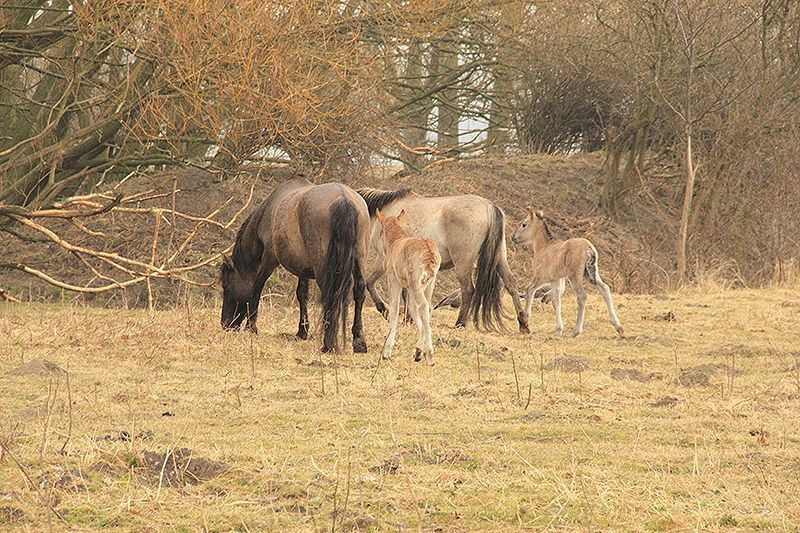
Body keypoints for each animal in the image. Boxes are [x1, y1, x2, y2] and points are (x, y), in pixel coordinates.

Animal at [217, 175, 370, 356]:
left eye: (226, 285)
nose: (225, 324)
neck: (268, 211)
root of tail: (343, 198)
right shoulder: (303, 269)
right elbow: (302, 294)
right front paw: (302, 331)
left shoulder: (269, 259)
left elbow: (257, 287)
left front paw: (251, 327)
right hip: (359, 259)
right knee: (359, 291)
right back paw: (359, 342)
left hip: (324, 270)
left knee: (330, 296)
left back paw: (328, 345)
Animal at [360, 185, 528, 330]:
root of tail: (489, 206)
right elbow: (407, 293)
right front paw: (409, 319)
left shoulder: (383, 260)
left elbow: (369, 283)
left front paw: (386, 311)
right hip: (500, 257)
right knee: (511, 284)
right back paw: (523, 323)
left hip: (463, 265)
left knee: (468, 290)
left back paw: (460, 323)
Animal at [376, 208, 444, 362]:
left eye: (380, 232)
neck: (395, 243)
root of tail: (430, 254)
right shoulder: (407, 286)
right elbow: (412, 309)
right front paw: (418, 349)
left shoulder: (394, 280)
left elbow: (394, 308)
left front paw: (386, 351)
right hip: (427, 284)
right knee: (427, 307)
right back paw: (421, 350)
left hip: (415, 282)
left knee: (423, 306)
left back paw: (429, 354)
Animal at [512, 208, 624, 336]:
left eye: (524, 224)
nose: (513, 237)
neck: (544, 247)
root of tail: (589, 249)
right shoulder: (556, 279)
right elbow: (556, 301)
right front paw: (559, 330)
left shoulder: (541, 276)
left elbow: (529, 289)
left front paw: (525, 319)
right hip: (590, 274)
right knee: (605, 289)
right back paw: (619, 327)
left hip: (574, 276)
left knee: (582, 296)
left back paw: (575, 331)